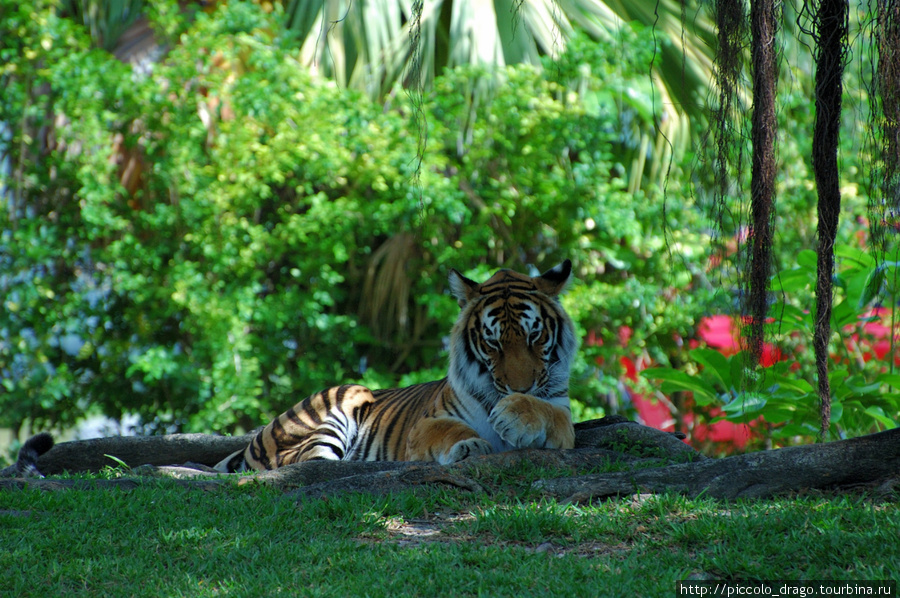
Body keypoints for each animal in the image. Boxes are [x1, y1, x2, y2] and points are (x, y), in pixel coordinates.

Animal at [214, 262, 576, 474]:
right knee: (296, 461)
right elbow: (452, 431)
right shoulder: (426, 423)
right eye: (492, 343)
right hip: (338, 405)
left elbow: (549, 413)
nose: (519, 388)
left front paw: (516, 415)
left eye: (534, 336)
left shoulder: (561, 411)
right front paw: (471, 446)